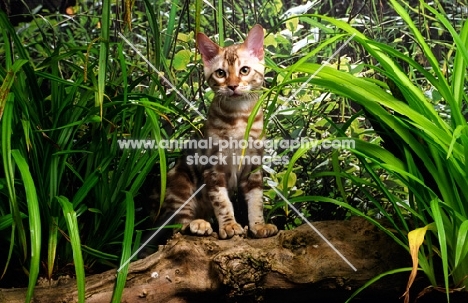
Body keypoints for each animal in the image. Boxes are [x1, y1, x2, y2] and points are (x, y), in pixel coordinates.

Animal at [157, 25, 276, 241]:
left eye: (244, 70)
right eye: (221, 73)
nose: (233, 85)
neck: (239, 117)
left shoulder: (253, 167)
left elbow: (256, 201)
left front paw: (258, 226)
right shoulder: (213, 167)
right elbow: (222, 202)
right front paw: (229, 225)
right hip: (180, 181)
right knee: (176, 226)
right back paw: (196, 224)